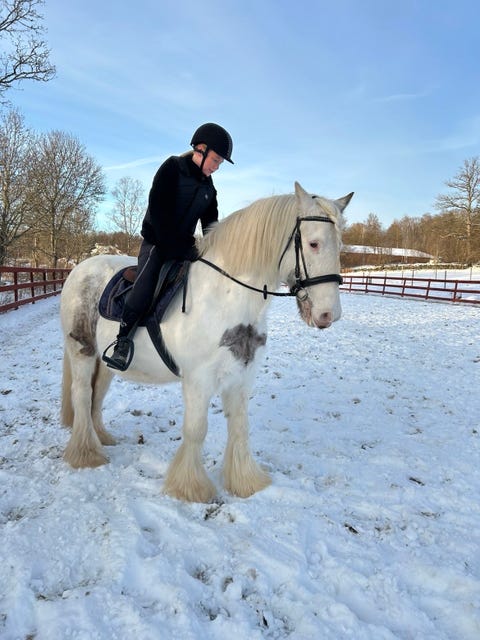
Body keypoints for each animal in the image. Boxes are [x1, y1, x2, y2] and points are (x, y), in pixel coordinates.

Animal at [60, 182, 353, 503]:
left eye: (340, 245)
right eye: (313, 244)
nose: (329, 314)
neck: (225, 298)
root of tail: (79, 270)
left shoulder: (241, 377)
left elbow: (240, 427)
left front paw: (245, 481)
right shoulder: (198, 380)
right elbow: (196, 430)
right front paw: (190, 488)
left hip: (105, 363)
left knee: (96, 396)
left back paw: (100, 438)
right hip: (82, 351)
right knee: (82, 395)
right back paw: (86, 454)